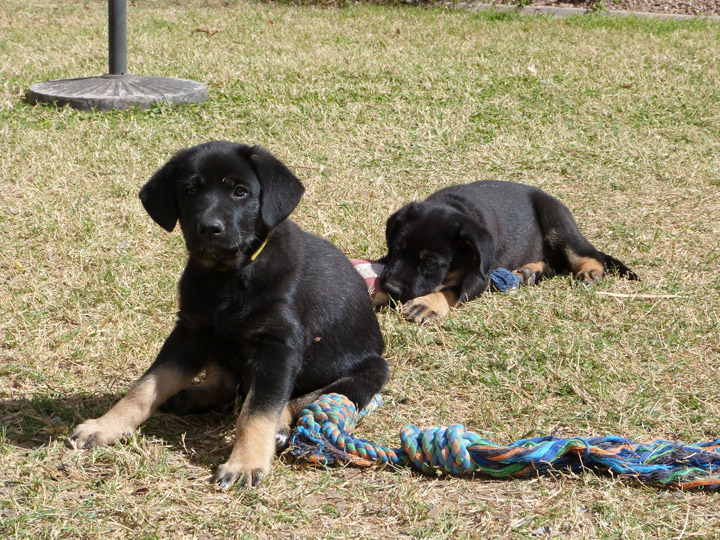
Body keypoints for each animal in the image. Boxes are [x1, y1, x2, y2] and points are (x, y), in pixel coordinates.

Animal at [69, 141, 388, 488]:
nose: (209, 228)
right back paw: (189, 396)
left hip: (372, 370)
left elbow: (257, 411)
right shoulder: (190, 332)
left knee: (297, 399)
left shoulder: (278, 348)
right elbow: (146, 386)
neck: (229, 276)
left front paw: (245, 462)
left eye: (240, 192)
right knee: (228, 383)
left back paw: (278, 428)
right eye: (191, 190)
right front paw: (106, 425)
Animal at [380, 181, 640, 322]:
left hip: (556, 219)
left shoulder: (480, 276)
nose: (391, 288)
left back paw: (590, 272)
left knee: (585, 253)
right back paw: (529, 272)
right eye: (395, 249)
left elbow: (452, 290)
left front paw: (426, 304)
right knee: (555, 264)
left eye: (431, 263)